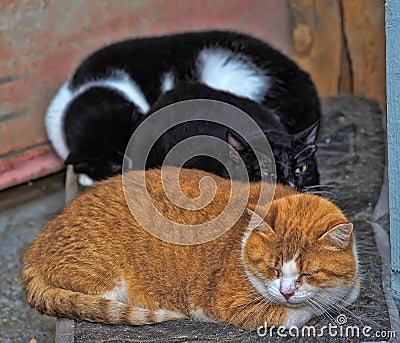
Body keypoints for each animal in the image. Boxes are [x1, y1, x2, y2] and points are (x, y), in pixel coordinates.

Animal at [21, 168, 360, 330]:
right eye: (272, 269)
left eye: (308, 274)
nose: (287, 291)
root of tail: (34, 249)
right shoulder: (231, 305)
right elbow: (297, 313)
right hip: (107, 281)